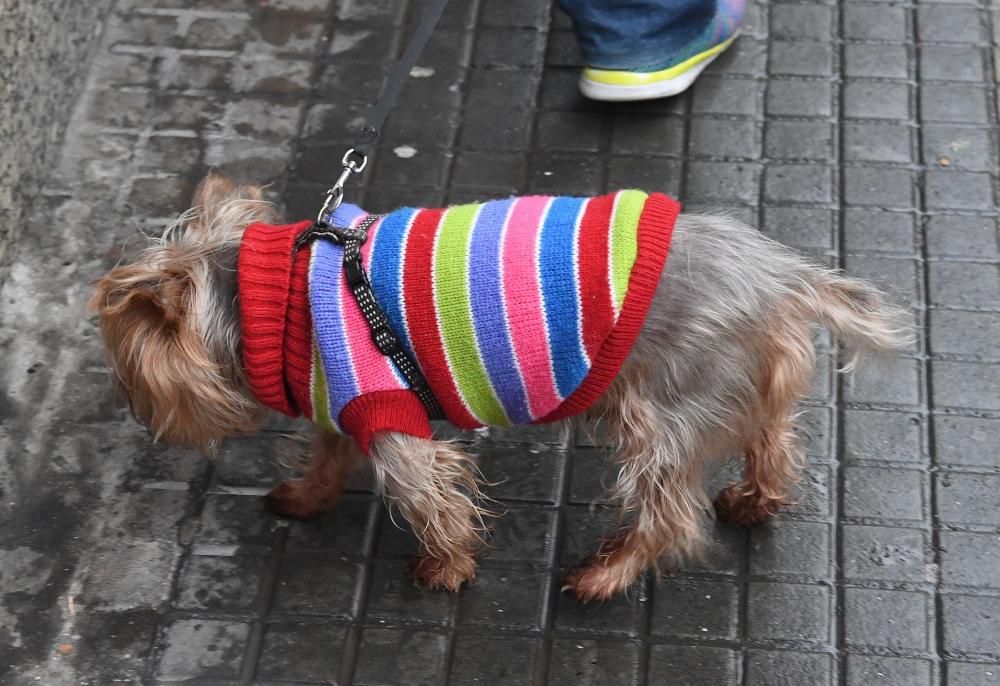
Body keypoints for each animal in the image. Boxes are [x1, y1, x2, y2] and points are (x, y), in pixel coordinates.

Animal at [90, 176, 912, 600]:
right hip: (736, 379)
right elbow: (325, 453)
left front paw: (445, 568)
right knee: (772, 439)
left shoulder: (386, 414)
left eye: (130, 371)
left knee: (670, 508)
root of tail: (782, 276)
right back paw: (754, 498)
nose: (131, 410)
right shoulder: (344, 404)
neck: (279, 301)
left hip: (664, 405)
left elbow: (428, 495)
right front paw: (304, 498)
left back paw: (605, 573)